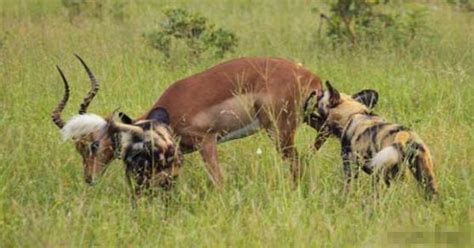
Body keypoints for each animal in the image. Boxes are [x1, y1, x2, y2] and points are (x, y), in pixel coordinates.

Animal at [52, 56, 326, 192]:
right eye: (78, 147)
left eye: (94, 144)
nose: (89, 179)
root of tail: (310, 76)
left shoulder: (207, 141)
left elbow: (219, 181)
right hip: (313, 120)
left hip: (280, 131)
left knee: (297, 164)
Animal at [310, 82, 438, 199]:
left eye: (321, 97)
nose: (314, 97)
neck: (354, 113)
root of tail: (404, 134)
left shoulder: (350, 165)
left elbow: (348, 187)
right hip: (425, 177)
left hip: (387, 176)